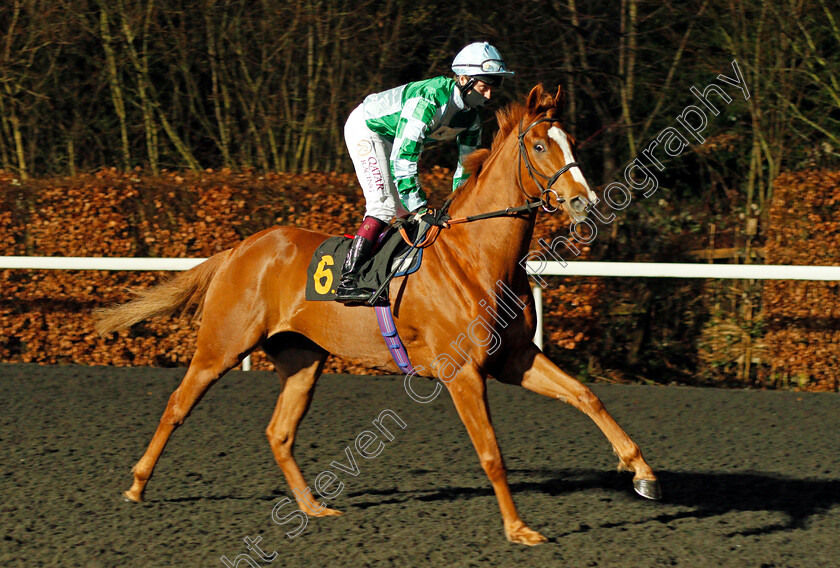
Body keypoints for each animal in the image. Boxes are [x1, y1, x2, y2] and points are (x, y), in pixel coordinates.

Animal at [95, 84, 660, 544]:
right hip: (222, 345)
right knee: (177, 406)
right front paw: (519, 528)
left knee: (279, 432)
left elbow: (586, 396)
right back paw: (137, 485)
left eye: (572, 141)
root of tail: (242, 248)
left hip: (303, 358)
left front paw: (641, 470)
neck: (475, 257)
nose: (585, 202)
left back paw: (312, 507)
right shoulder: (462, 373)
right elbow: (492, 453)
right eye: (541, 145)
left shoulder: (514, 359)